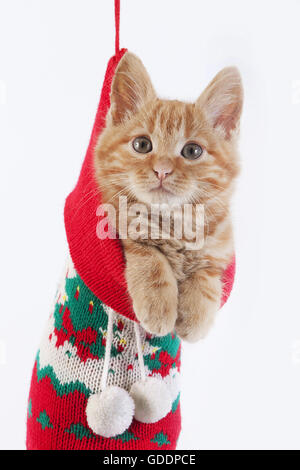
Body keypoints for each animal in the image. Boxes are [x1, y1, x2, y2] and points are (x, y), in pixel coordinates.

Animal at [95, 52, 243, 342]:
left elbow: (207, 273)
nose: (162, 170)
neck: (176, 223)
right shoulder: (121, 225)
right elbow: (150, 257)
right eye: (142, 144)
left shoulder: (221, 246)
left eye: (192, 151)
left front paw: (196, 315)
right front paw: (159, 306)